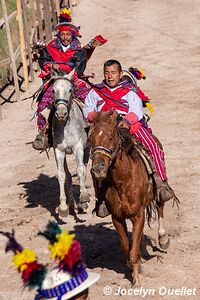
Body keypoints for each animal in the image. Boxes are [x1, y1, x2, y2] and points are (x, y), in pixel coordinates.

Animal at [51, 69, 90, 217]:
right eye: (53, 90)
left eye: (70, 89)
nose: (61, 113)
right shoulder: (59, 151)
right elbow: (62, 175)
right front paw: (63, 207)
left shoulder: (78, 148)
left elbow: (79, 170)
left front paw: (84, 196)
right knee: (68, 176)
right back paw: (73, 205)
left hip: (87, 148)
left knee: (84, 168)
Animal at [88, 110, 169, 286]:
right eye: (91, 138)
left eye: (111, 136)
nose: (98, 168)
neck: (122, 181)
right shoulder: (117, 217)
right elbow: (127, 247)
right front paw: (135, 267)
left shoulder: (138, 216)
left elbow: (133, 249)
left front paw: (136, 280)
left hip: (158, 193)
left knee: (160, 205)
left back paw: (163, 238)